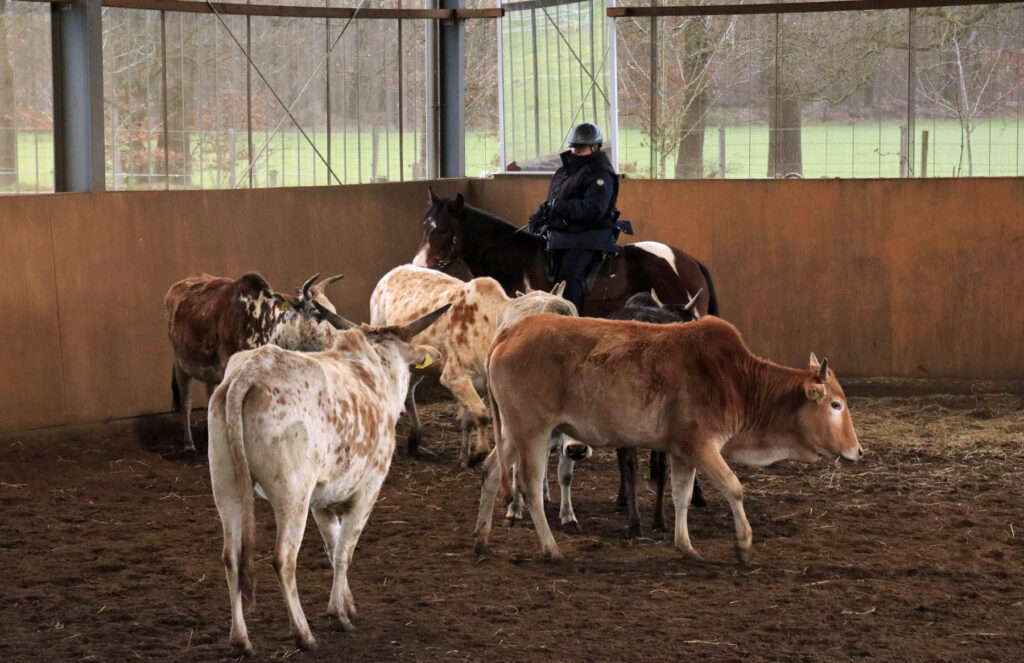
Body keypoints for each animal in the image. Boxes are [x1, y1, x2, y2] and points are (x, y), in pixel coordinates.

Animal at [206, 303, 448, 655]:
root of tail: (250, 372)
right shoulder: (368, 490)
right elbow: (345, 551)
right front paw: (339, 614)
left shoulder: (321, 501)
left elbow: (333, 549)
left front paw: (347, 603)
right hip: (292, 493)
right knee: (284, 559)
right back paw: (303, 634)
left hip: (226, 485)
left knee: (231, 556)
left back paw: (240, 639)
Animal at [370, 262, 509, 467]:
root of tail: (395, 270)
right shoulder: (454, 376)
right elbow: (482, 415)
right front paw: (477, 454)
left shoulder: (479, 384)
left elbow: (469, 419)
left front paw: (464, 457)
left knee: (409, 390)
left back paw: (414, 438)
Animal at [475, 313, 860, 561]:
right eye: (836, 404)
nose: (858, 451)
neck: (734, 381)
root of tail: (509, 333)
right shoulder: (701, 446)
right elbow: (733, 487)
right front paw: (744, 543)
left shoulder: (681, 450)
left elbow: (681, 496)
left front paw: (685, 546)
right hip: (533, 430)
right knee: (528, 485)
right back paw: (551, 549)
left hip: (511, 431)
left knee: (492, 470)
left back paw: (481, 538)